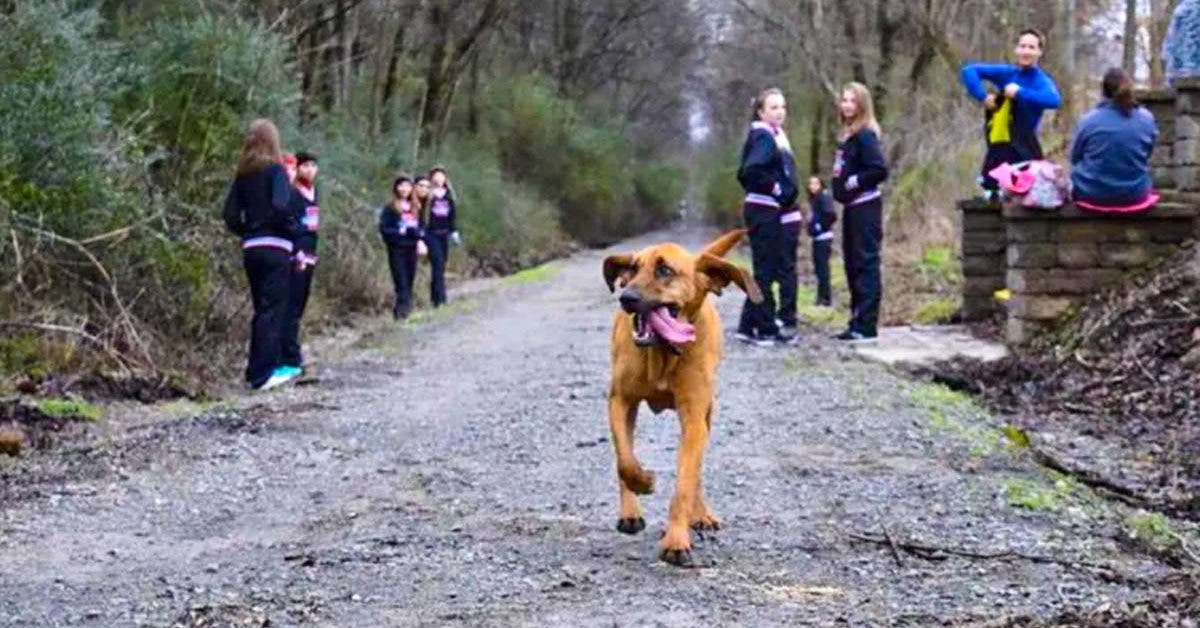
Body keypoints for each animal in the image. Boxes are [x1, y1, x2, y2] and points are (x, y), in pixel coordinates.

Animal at [604, 229, 763, 564]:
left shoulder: (693, 417)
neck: (663, 353)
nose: (626, 298)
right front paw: (643, 482)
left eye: (665, 270)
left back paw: (700, 514)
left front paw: (677, 539)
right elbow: (625, 461)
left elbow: (685, 483)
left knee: (697, 470)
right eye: (632, 269)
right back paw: (630, 513)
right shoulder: (620, 402)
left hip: (707, 415)